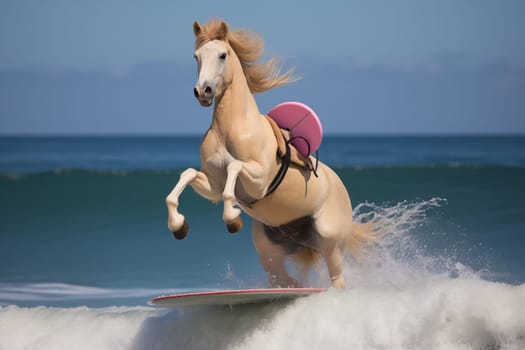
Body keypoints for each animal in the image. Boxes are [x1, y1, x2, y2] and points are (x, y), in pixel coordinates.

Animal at [166, 17, 370, 288]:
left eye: (222, 55)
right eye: (196, 56)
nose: (203, 92)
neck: (230, 128)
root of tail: (341, 186)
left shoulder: (259, 182)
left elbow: (234, 166)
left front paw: (232, 218)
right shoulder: (213, 186)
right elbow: (187, 175)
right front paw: (178, 226)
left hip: (330, 244)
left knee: (337, 280)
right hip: (270, 253)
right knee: (289, 282)